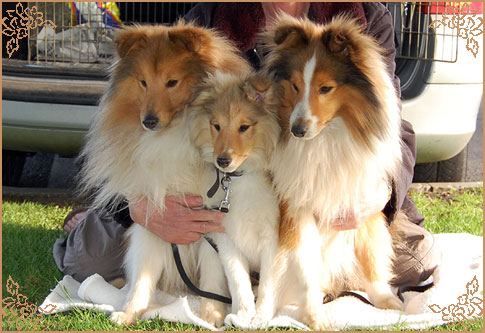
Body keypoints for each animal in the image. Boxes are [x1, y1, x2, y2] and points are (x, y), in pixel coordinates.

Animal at [78, 21, 250, 324]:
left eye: (172, 82)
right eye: (143, 82)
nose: (148, 121)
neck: (176, 132)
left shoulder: (210, 224)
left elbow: (212, 277)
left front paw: (211, 316)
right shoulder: (155, 218)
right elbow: (143, 276)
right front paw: (130, 312)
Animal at [188, 71, 280, 326]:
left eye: (244, 127)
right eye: (216, 126)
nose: (222, 161)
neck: (237, 181)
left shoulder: (272, 235)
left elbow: (268, 280)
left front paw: (262, 316)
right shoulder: (224, 236)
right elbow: (237, 278)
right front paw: (242, 314)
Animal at [260, 14, 404, 326]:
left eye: (325, 88)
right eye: (295, 85)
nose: (297, 130)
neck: (327, 138)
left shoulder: (364, 204)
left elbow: (371, 256)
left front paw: (387, 302)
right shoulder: (297, 211)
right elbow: (307, 268)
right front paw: (315, 315)